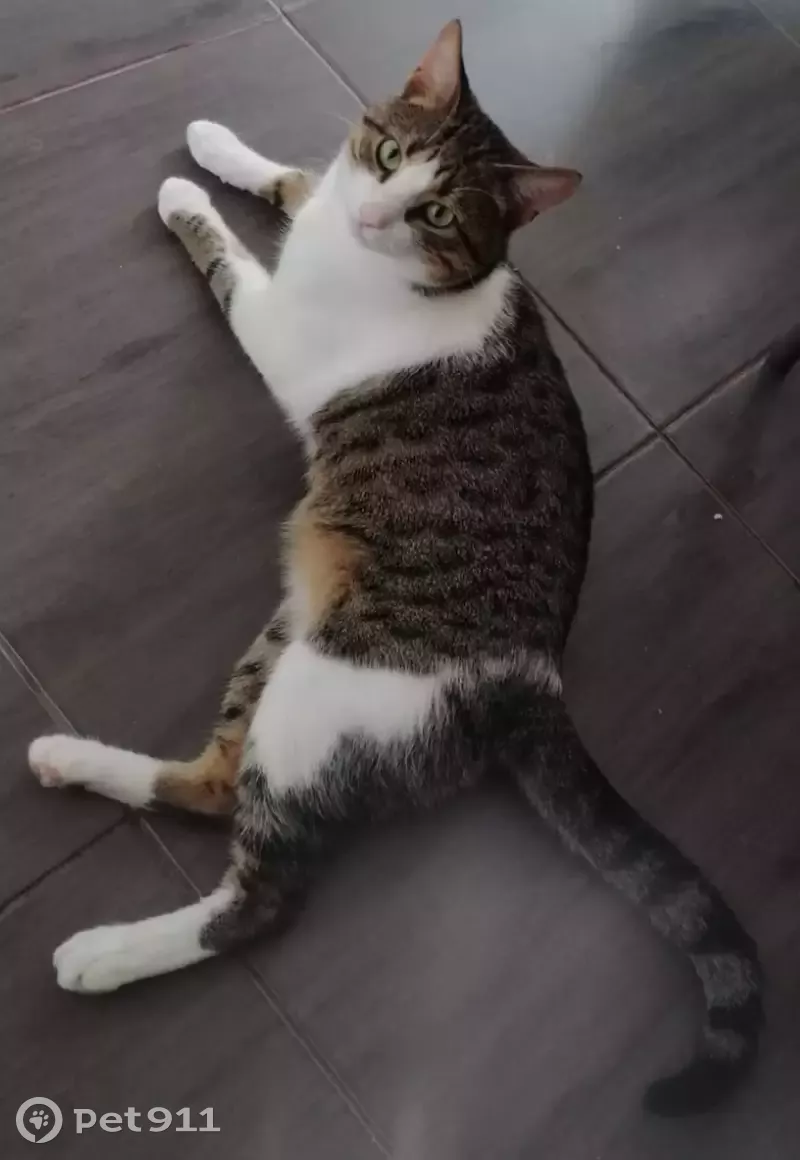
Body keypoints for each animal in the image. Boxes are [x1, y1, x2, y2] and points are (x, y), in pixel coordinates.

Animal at [28, 20, 762, 1117]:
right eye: (386, 156)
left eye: (438, 211)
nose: (376, 212)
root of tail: (532, 677)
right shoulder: (325, 197)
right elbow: (293, 178)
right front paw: (214, 148)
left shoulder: (279, 330)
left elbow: (232, 264)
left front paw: (189, 205)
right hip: (286, 637)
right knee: (211, 782)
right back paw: (72, 758)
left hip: (323, 693)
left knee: (261, 892)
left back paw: (106, 950)